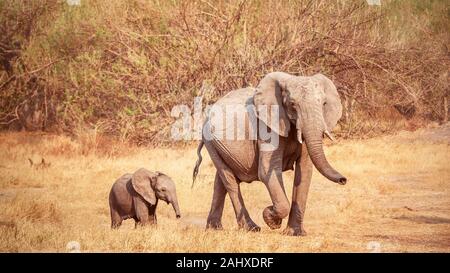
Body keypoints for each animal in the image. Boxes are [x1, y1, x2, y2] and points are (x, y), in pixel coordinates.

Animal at [192, 71, 346, 235]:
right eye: (292, 104)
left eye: (324, 104)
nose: (343, 180)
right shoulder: (267, 128)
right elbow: (267, 171)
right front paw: (271, 219)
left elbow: (304, 172)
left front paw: (295, 233)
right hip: (210, 141)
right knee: (230, 181)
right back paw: (251, 228)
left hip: (219, 145)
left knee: (220, 181)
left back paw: (214, 228)